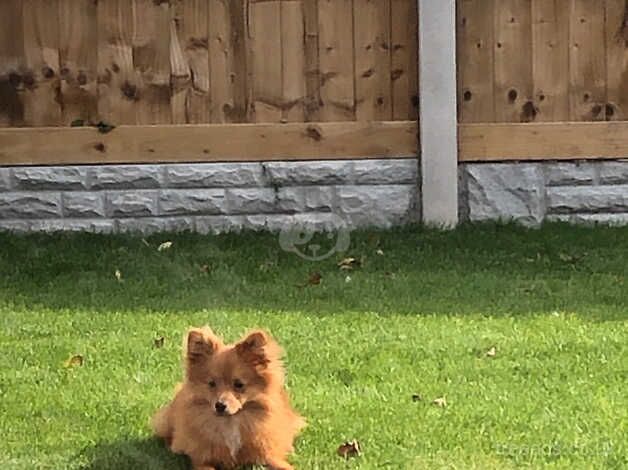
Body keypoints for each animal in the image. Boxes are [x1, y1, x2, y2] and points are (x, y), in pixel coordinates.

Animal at [151, 326, 306, 470]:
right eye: (211, 384)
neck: (230, 423)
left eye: (239, 384)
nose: (219, 405)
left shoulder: (267, 454)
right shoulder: (202, 460)